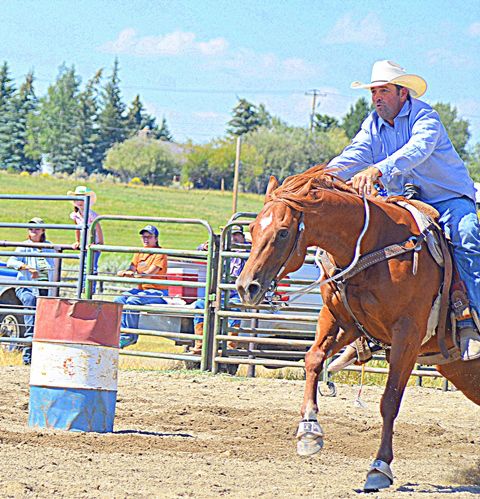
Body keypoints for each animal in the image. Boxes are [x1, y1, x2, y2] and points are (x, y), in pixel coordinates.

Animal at [237, 165, 480, 492]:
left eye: (283, 231)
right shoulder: (342, 321)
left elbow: (390, 400)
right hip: (462, 371)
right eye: (252, 229)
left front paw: (379, 468)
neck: (372, 244)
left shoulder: (407, 335)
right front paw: (309, 431)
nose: (245, 287)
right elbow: (313, 359)